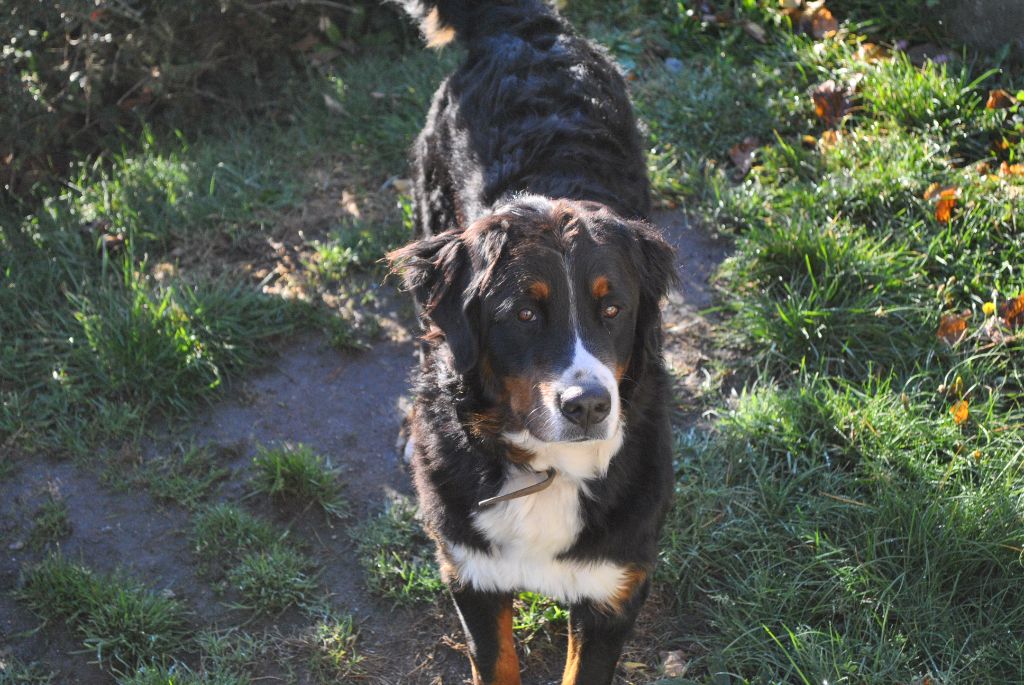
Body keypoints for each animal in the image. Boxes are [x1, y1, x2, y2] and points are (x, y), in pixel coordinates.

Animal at [388, 2, 677, 683]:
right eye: (523, 313)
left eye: (612, 308)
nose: (589, 405)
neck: (548, 470)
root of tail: (523, 25)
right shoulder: (471, 573)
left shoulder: (614, 589)